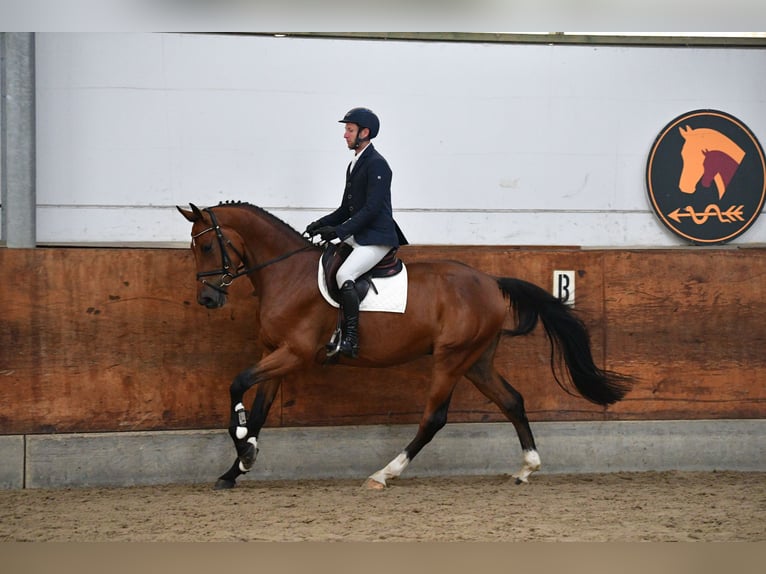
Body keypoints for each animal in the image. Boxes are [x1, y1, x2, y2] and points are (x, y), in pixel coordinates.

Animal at [177, 202, 632, 490]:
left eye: (207, 245)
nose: (208, 300)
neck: (286, 274)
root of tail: (490, 281)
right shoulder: (276, 353)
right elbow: (257, 413)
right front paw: (237, 467)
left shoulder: (293, 353)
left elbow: (237, 385)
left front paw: (243, 450)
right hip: (476, 360)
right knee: (513, 401)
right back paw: (526, 469)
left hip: (451, 359)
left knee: (434, 418)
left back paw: (384, 474)